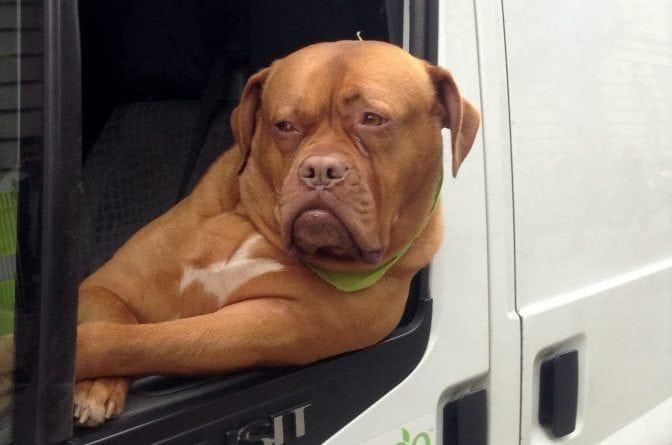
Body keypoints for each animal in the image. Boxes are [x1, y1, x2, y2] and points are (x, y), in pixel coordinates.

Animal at [67, 41, 478, 426]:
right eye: (285, 125)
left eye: (372, 119)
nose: (320, 170)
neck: (256, 230)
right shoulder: (105, 285)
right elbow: (118, 317)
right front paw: (96, 384)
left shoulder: (273, 324)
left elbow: (157, 339)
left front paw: (78, 356)